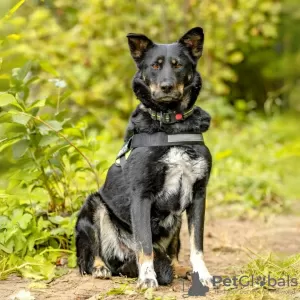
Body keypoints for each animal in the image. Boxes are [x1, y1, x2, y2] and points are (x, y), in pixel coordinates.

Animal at [77, 27, 213, 288]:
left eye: (178, 65)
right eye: (155, 66)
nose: (167, 86)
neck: (171, 126)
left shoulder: (198, 193)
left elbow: (197, 245)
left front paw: (202, 274)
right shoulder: (141, 195)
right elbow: (145, 244)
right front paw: (148, 278)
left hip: (175, 220)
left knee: (171, 254)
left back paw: (180, 269)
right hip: (94, 206)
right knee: (92, 254)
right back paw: (100, 267)